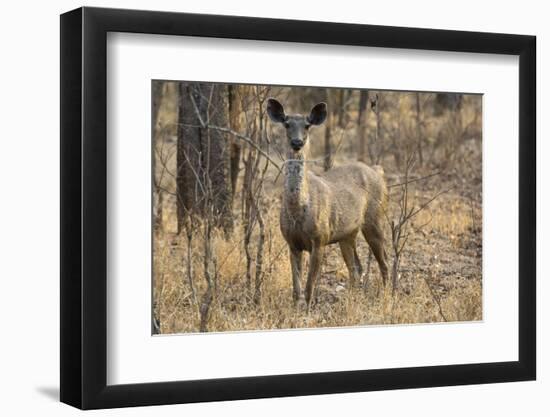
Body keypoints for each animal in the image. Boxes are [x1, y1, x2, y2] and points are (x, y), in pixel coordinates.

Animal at [268, 96, 390, 306]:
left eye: (307, 125)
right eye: (286, 123)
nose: (297, 142)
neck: (298, 211)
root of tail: (378, 170)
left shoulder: (319, 240)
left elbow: (309, 288)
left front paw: (308, 310)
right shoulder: (292, 243)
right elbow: (296, 290)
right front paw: (295, 309)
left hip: (375, 218)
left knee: (384, 263)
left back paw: (387, 297)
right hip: (347, 234)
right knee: (356, 268)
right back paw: (353, 300)